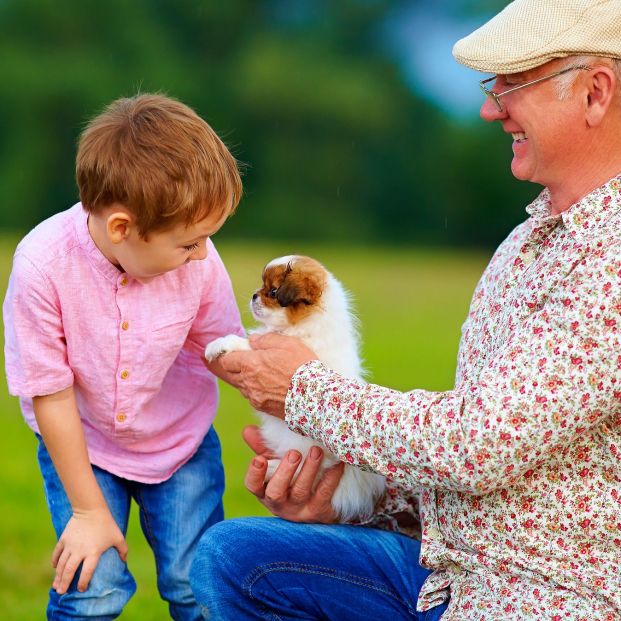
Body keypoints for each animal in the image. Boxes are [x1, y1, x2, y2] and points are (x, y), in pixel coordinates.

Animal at [203, 254, 386, 520]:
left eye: (273, 291)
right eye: (263, 287)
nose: (254, 296)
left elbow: (247, 345)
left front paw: (219, 344)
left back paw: (271, 468)